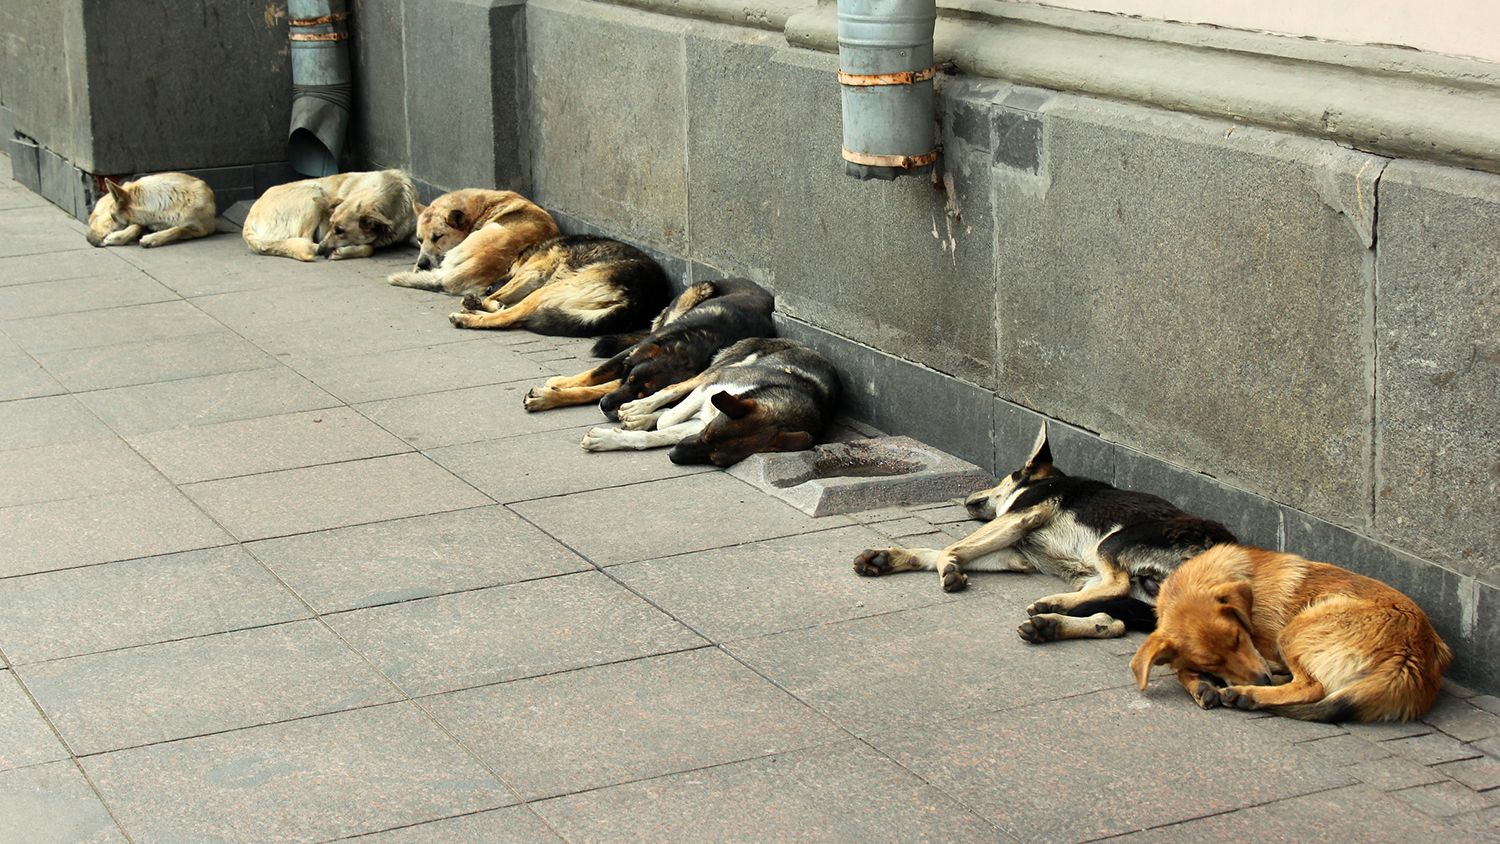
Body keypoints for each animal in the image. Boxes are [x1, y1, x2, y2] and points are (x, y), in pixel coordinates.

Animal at [86, 173, 217, 247]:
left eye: (114, 216)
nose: (89, 239)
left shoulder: (203, 230)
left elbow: (179, 229)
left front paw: (152, 239)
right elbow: (137, 226)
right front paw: (117, 237)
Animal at [243, 170, 417, 262]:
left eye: (340, 231)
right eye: (331, 224)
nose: (321, 250)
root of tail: (248, 219)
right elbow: (369, 248)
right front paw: (341, 252)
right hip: (313, 190)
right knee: (305, 240)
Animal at [1134, 548, 1452, 719]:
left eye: (1238, 638)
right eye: (1213, 662)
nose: (1261, 679)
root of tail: (1412, 653)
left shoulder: (1266, 648)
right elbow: (1180, 666)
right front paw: (1201, 683)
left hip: (1295, 630)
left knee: (1312, 687)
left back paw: (1248, 695)